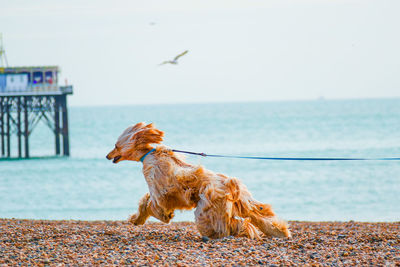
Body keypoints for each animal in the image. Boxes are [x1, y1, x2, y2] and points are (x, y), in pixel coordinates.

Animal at [106, 122, 290, 240]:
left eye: (116, 145)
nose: (107, 156)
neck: (148, 155)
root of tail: (230, 184)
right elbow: (145, 201)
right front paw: (136, 219)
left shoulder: (160, 193)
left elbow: (153, 204)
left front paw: (160, 216)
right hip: (242, 203)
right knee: (257, 217)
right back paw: (280, 232)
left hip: (207, 209)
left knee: (231, 225)